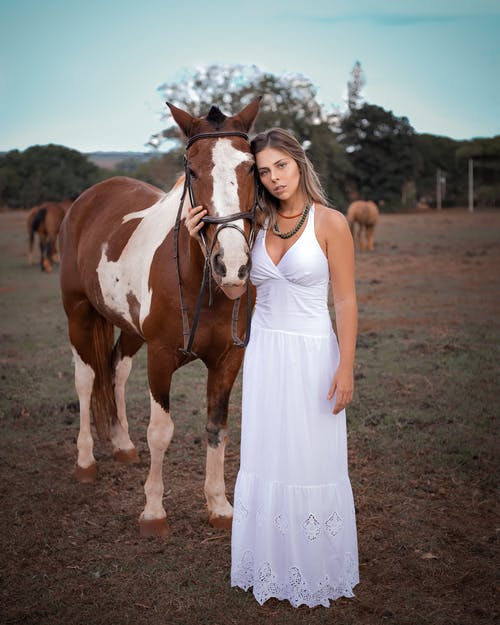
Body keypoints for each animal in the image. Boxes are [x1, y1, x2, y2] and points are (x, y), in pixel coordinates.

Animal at [58, 98, 260, 536]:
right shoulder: (161, 356)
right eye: (193, 170)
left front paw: (219, 506)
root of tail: (88, 198)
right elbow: (161, 432)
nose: (231, 265)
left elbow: (217, 428)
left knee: (115, 368)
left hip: (130, 329)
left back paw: (122, 444)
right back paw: (85, 461)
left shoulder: (228, 359)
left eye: (251, 167)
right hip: (79, 314)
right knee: (86, 380)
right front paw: (153, 511)